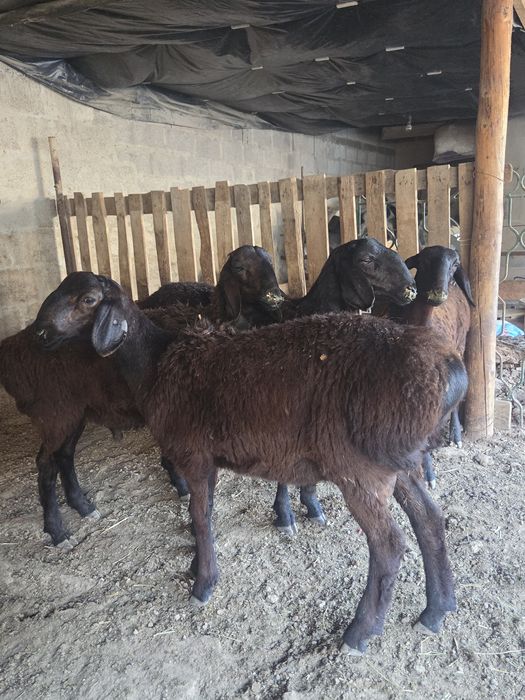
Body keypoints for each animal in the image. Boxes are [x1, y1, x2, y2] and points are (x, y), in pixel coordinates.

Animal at [0, 246, 282, 548]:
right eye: (239, 268)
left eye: (270, 260)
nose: (276, 296)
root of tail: (14, 346)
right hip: (54, 412)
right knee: (45, 464)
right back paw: (56, 530)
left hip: (75, 412)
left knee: (64, 455)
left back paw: (83, 507)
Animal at [37, 273, 467, 655]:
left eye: (88, 300)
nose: (40, 333)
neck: (154, 365)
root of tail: (451, 371)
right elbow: (202, 515)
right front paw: (197, 565)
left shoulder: (195, 456)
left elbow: (200, 516)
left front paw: (204, 584)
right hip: (401, 462)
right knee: (430, 520)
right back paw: (437, 610)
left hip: (362, 471)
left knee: (389, 546)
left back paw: (360, 633)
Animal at [392, 245, 474, 487]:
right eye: (425, 261)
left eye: (455, 265)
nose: (438, 294)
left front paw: (428, 473)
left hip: (461, 345)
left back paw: (456, 435)